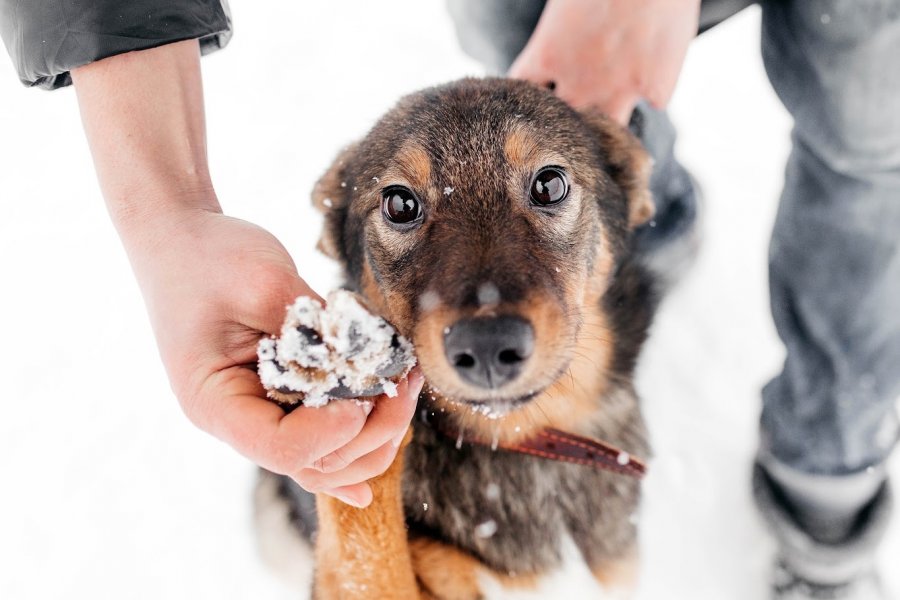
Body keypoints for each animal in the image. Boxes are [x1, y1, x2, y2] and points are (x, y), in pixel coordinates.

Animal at [253, 77, 660, 596]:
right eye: (399, 204)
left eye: (550, 184)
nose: (487, 345)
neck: (520, 445)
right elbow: (364, 534)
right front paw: (342, 360)